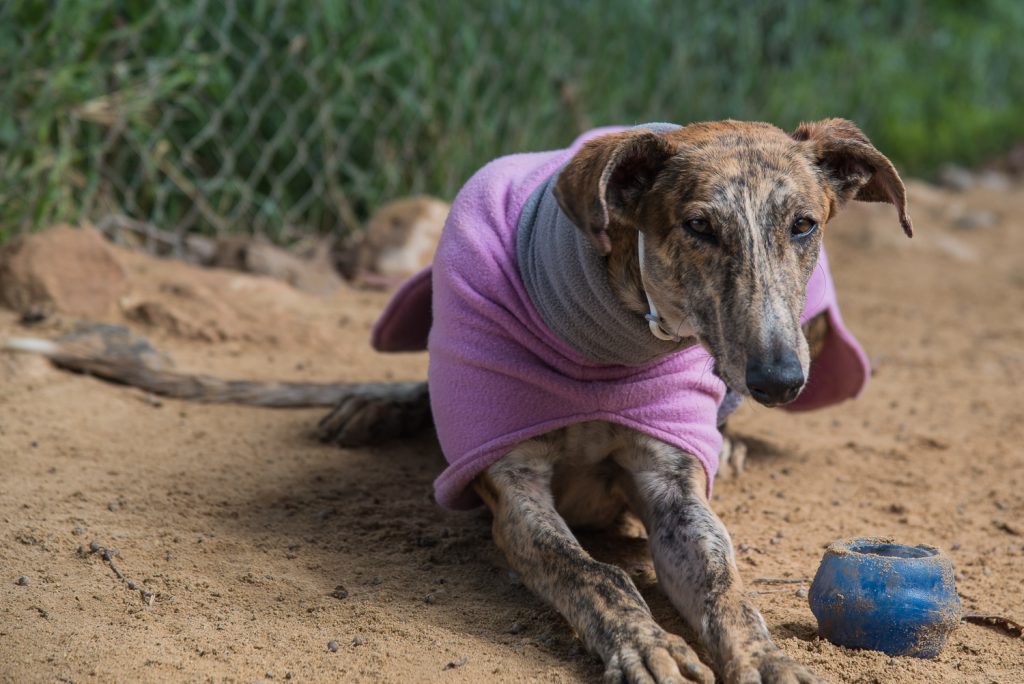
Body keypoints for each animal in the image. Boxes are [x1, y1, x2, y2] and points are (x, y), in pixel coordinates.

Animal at [4, 120, 909, 679]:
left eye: (803, 225)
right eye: (698, 227)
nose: (779, 381)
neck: (610, 343)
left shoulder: (675, 492)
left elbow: (724, 584)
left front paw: (765, 657)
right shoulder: (515, 493)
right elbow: (598, 576)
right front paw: (645, 644)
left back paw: (742, 441)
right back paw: (373, 409)